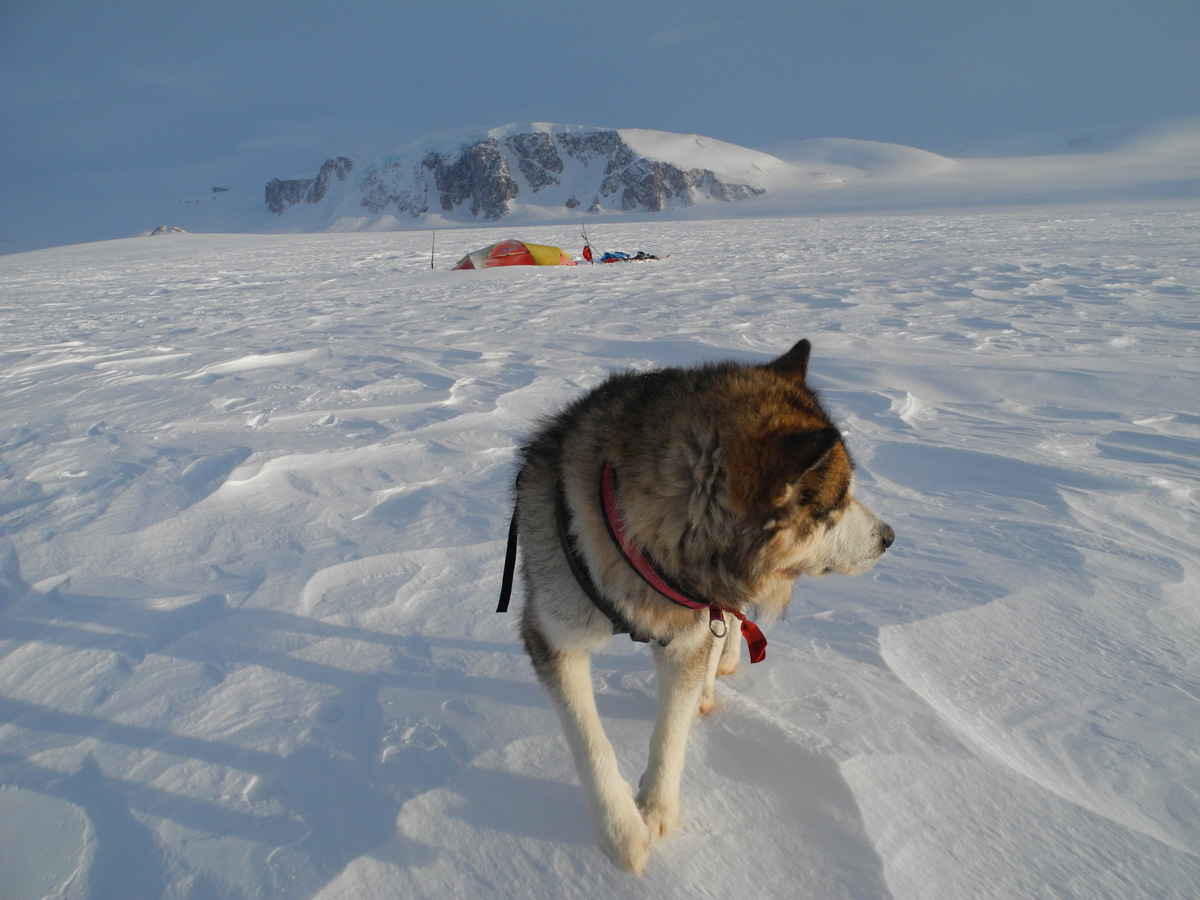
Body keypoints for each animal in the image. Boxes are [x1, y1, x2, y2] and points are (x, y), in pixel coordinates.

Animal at [496, 338, 892, 873]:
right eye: (839, 502)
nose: (889, 537)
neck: (639, 540)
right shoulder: (554, 635)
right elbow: (588, 739)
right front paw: (620, 830)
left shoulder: (687, 632)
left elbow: (673, 730)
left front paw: (657, 809)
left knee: (727, 621)